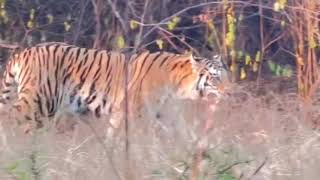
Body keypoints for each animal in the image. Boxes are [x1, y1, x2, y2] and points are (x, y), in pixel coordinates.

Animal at [0, 42, 228, 134]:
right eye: (215, 78)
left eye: (226, 75)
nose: (230, 92)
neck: (179, 87)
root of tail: (22, 53)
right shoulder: (132, 112)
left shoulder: (167, 115)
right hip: (37, 100)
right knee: (9, 117)